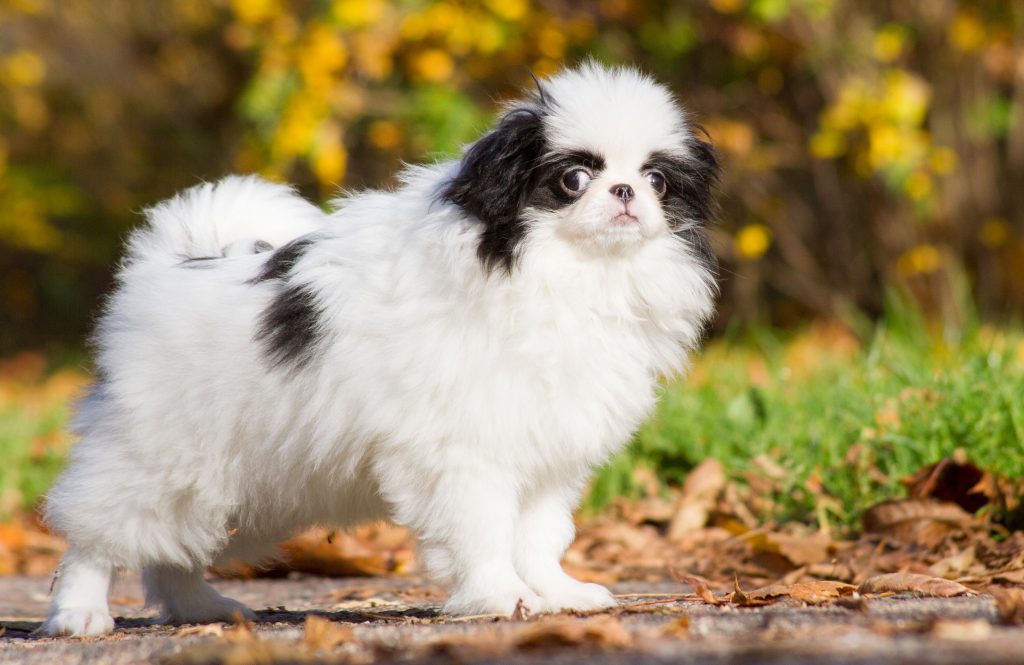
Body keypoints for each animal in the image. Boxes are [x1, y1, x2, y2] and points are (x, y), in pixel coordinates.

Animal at [41, 63, 720, 639]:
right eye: (574, 179)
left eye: (658, 180)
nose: (627, 190)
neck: (570, 275)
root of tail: (171, 263)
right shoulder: (464, 453)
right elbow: (484, 531)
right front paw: (501, 596)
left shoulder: (545, 452)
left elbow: (540, 534)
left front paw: (555, 593)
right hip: (158, 456)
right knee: (99, 536)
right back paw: (80, 615)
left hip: (241, 475)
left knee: (173, 551)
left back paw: (200, 609)